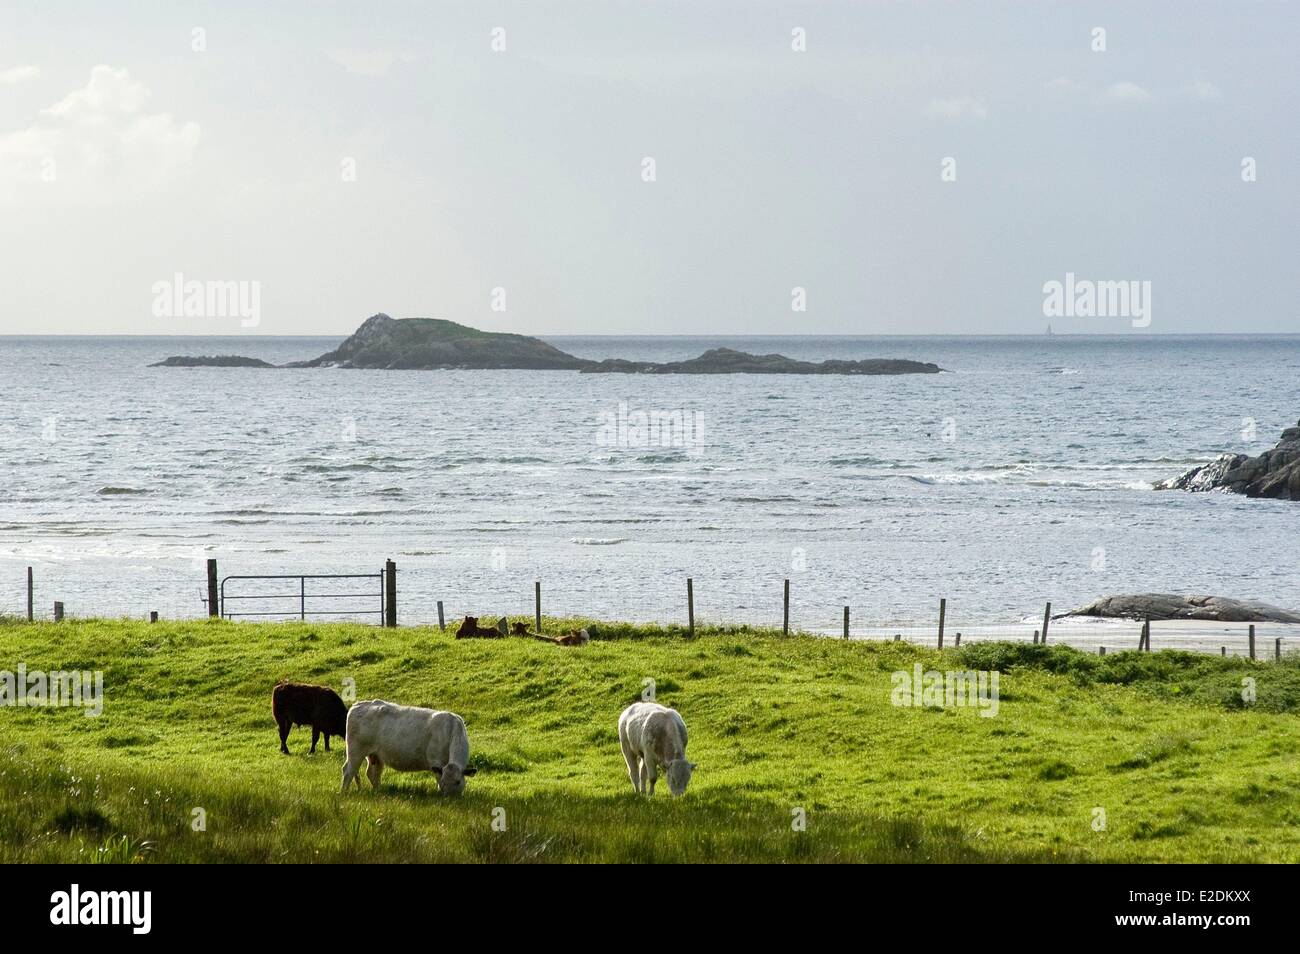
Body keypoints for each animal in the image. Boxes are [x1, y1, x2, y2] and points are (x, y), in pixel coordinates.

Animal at [340, 701, 478, 800]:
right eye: (444, 783)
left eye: (458, 781)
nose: (449, 800)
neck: (452, 730)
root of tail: (359, 704)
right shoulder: (436, 761)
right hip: (355, 751)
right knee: (348, 772)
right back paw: (344, 793)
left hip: (375, 755)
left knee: (372, 774)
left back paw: (378, 792)